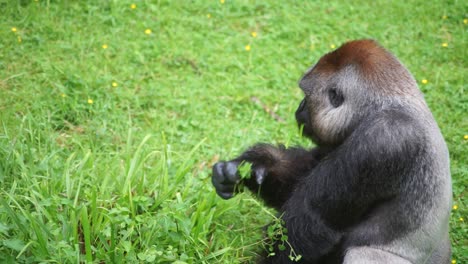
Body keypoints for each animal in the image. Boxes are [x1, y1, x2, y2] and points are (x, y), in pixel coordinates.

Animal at [211, 39, 450, 264]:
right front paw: (254, 167)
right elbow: (299, 176)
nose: (299, 107)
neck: (386, 104)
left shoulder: (384, 138)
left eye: (307, 95)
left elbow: (311, 221)